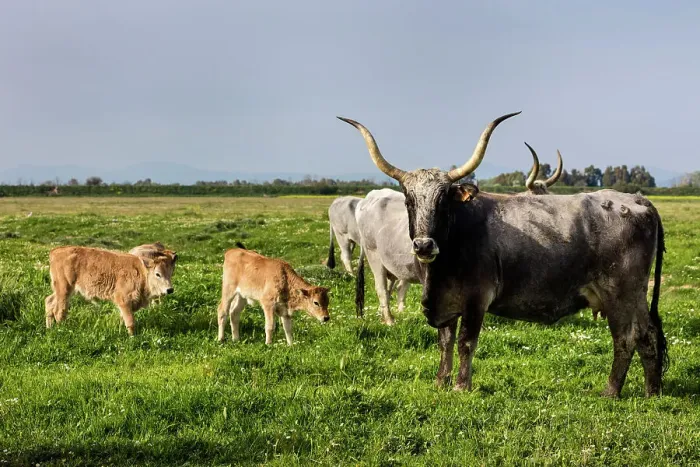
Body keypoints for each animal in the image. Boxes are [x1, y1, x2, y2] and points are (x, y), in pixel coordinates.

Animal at [45, 246, 177, 336]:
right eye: (158, 274)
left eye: (171, 273)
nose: (169, 289)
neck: (141, 272)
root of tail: (56, 251)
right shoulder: (123, 301)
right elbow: (130, 322)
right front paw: (132, 337)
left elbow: (122, 319)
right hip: (64, 289)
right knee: (59, 310)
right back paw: (63, 330)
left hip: (61, 291)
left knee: (49, 302)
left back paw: (49, 328)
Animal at [338, 112, 667, 397]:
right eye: (408, 200)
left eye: (444, 200)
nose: (423, 246)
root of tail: (638, 200)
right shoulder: (443, 300)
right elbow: (445, 342)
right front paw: (440, 382)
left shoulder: (476, 299)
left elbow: (465, 342)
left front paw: (461, 386)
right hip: (634, 296)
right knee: (648, 335)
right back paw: (652, 392)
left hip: (619, 294)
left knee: (626, 338)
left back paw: (611, 391)